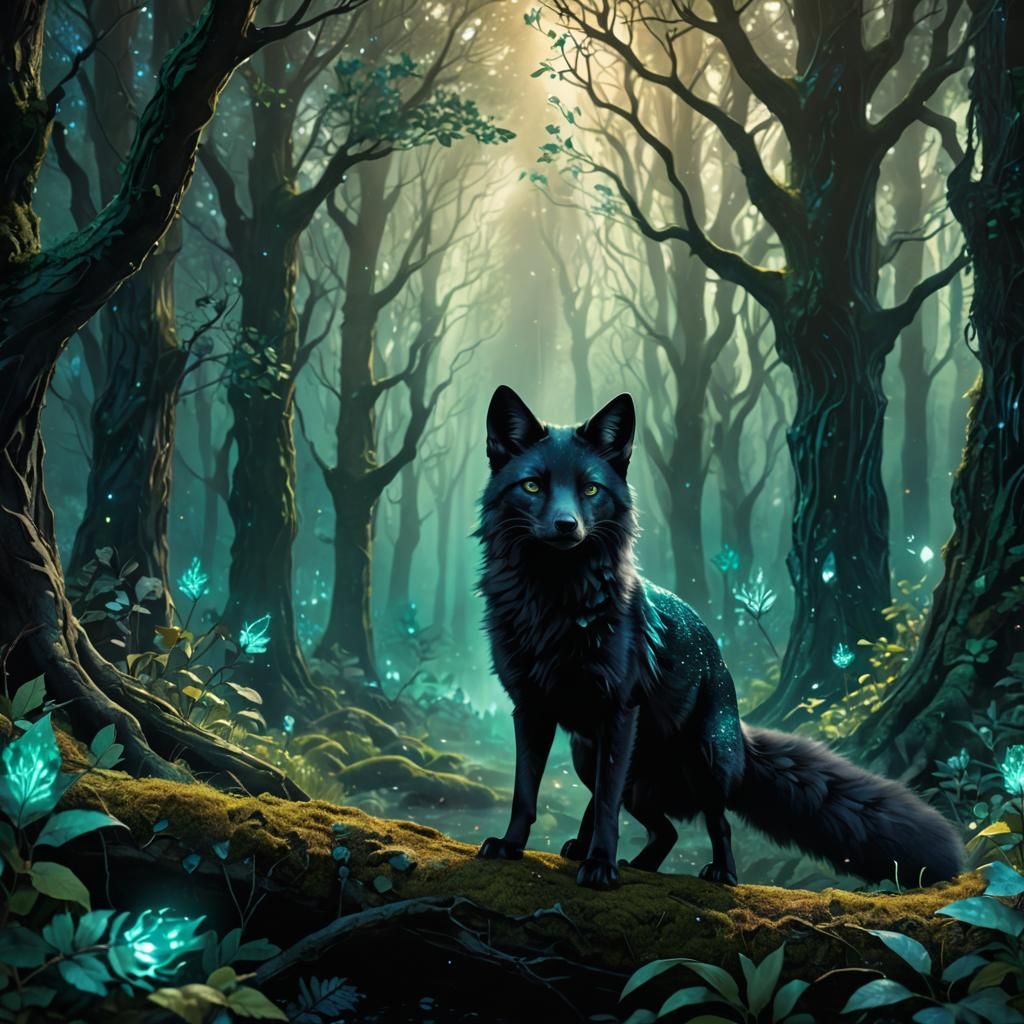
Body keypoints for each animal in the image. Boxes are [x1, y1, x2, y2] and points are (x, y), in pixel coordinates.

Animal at [474, 385, 963, 889]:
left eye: (590, 489)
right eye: (533, 486)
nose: (566, 525)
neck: (554, 602)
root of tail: (741, 730)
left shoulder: (619, 710)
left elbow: (608, 808)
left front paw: (601, 866)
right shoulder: (531, 708)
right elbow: (525, 792)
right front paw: (511, 846)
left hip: (704, 757)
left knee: (715, 822)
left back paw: (718, 873)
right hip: (587, 755)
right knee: (662, 828)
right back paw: (620, 859)